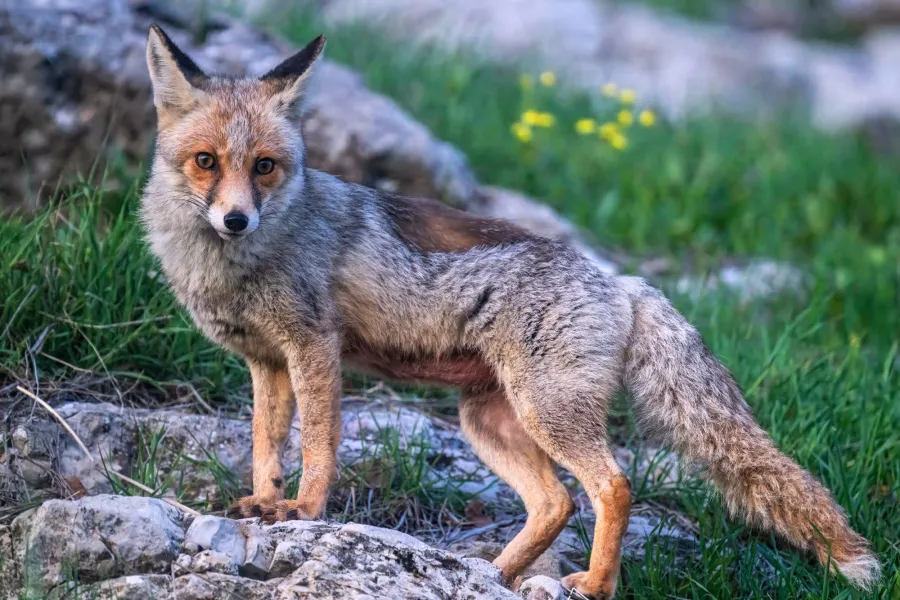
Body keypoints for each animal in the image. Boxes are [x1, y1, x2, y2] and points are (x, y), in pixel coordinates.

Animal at [140, 24, 880, 598]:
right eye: (206, 161)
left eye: (265, 166)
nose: (236, 219)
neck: (239, 265)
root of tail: (621, 281)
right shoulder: (267, 361)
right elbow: (265, 444)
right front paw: (266, 504)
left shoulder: (314, 346)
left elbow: (318, 446)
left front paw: (304, 510)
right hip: (488, 422)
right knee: (555, 502)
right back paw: (495, 573)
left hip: (544, 412)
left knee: (611, 486)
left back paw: (594, 583)